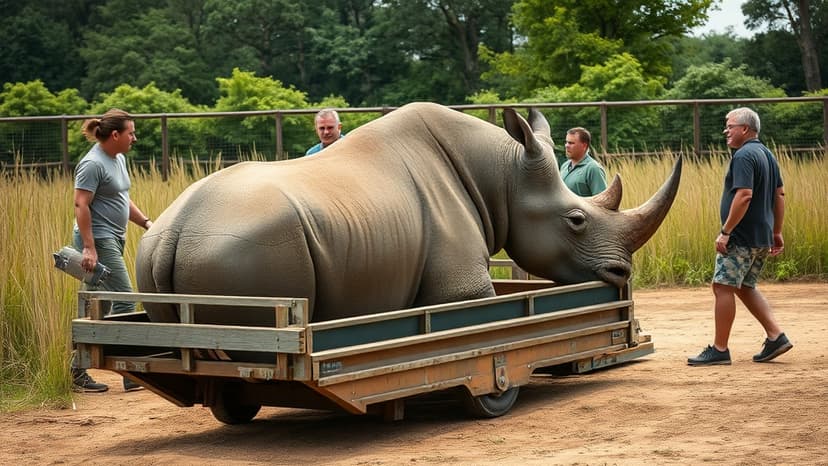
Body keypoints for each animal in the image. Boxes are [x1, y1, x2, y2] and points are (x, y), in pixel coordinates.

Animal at [136, 102, 681, 325]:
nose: (622, 273)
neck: (502, 173)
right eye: (576, 220)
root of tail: (173, 233)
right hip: (246, 247)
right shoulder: (462, 286)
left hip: (170, 250)